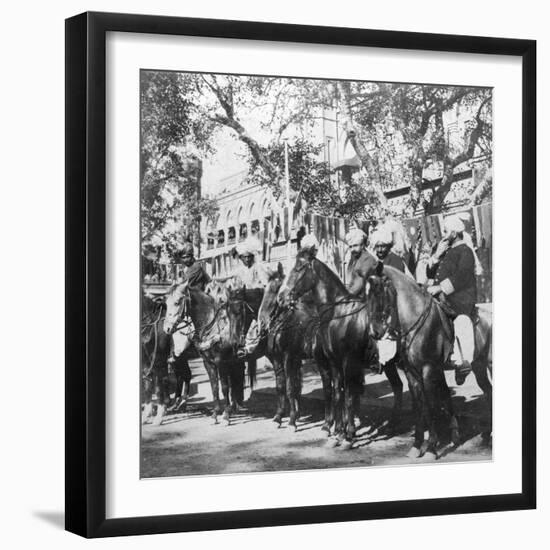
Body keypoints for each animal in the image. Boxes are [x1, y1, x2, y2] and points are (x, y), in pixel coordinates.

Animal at [164, 284, 256, 426]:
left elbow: (224, 387)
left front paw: (226, 415)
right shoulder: (208, 363)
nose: (166, 328)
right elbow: (214, 387)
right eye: (166, 303)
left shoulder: (221, 362)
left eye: (177, 302)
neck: (211, 328)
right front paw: (215, 414)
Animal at [280, 254, 406, 448]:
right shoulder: (334, 362)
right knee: (398, 387)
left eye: (298, 269)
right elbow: (338, 394)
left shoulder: (348, 362)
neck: (337, 316)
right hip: (390, 365)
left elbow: (348, 395)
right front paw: (339, 432)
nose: (282, 297)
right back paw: (393, 424)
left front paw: (348, 435)